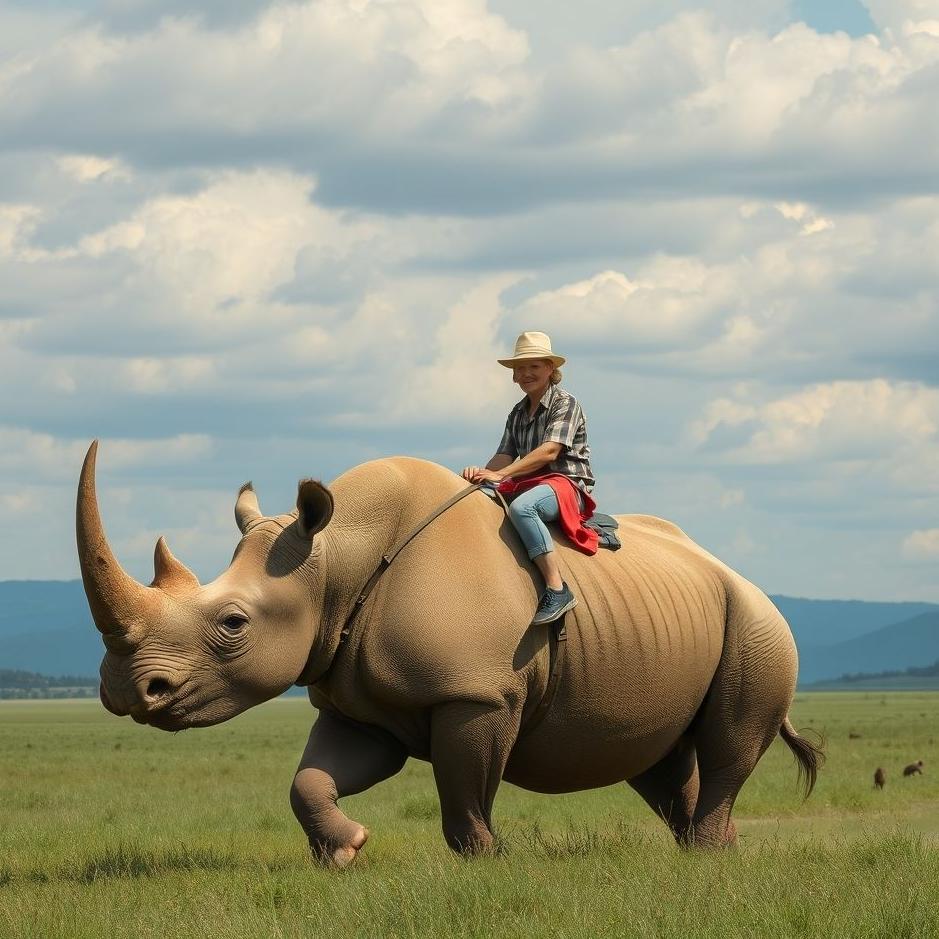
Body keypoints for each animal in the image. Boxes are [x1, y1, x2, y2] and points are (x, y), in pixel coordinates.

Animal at [77, 441, 822, 864]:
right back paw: (704, 855)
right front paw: (345, 851)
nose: (123, 690)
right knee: (659, 759)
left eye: (232, 623)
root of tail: (736, 573)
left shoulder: (476, 691)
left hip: (758, 624)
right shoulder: (358, 699)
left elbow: (464, 789)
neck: (336, 558)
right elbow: (311, 779)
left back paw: (708, 856)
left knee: (726, 741)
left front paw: (485, 862)